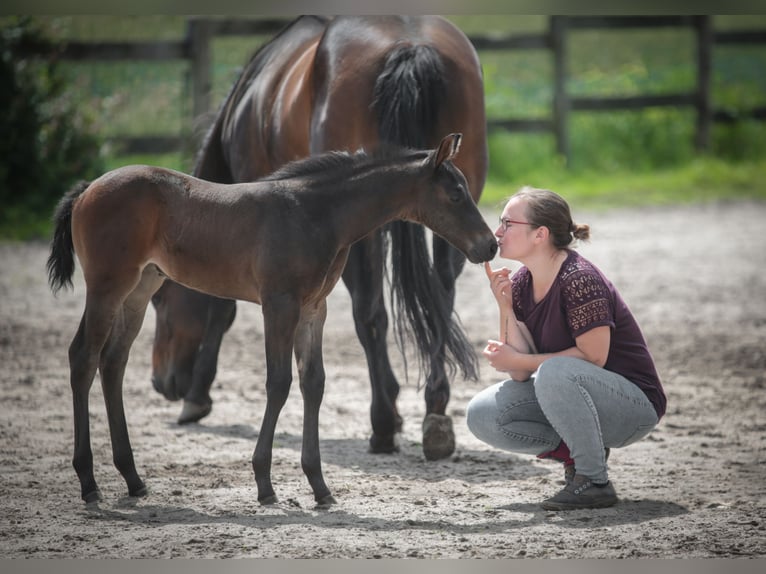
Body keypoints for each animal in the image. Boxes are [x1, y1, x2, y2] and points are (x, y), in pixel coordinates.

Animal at [47, 133, 498, 505]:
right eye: (456, 195)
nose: (489, 246)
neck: (315, 214)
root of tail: (88, 190)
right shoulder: (278, 304)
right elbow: (278, 382)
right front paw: (264, 484)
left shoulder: (315, 309)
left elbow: (314, 383)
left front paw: (319, 486)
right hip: (107, 287)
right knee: (83, 357)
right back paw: (89, 482)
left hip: (140, 289)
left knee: (113, 362)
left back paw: (133, 478)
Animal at [150, 15, 489, 460]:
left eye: (159, 299)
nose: (161, 382)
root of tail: (410, 44)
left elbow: (223, 307)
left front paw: (197, 396)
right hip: (458, 219)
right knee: (439, 301)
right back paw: (435, 416)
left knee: (370, 314)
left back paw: (382, 424)